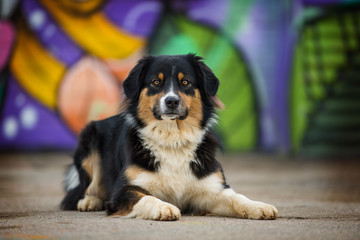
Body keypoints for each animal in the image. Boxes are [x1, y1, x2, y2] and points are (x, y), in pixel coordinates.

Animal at [61, 53, 278, 220]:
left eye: (185, 82)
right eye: (156, 82)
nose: (171, 101)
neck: (173, 138)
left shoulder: (212, 189)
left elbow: (236, 197)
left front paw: (259, 206)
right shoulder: (122, 190)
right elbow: (146, 197)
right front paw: (163, 207)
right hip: (89, 139)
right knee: (84, 187)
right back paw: (89, 201)